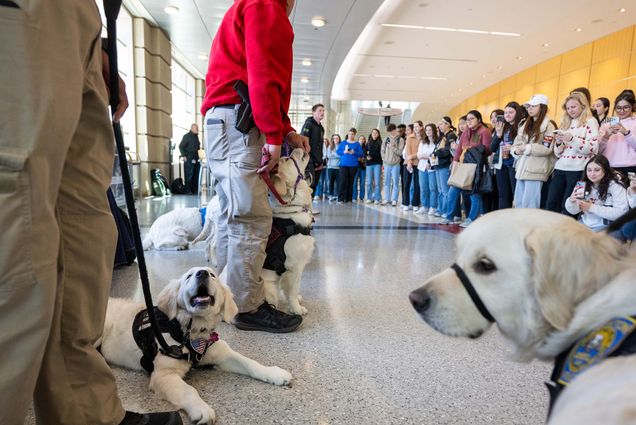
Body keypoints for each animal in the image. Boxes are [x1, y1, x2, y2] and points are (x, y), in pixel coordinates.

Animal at [100, 266, 294, 422]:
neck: (192, 333)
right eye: (188, 276)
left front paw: (274, 373)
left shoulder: (222, 353)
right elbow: (189, 390)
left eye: (213, 274)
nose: (202, 273)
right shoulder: (163, 375)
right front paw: (201, 410)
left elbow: (250, 363)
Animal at [193, 147, 314, 314]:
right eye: (287, 159)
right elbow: (292, 291)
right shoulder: (295, 267)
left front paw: (297, 301)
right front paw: (297, 308)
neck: (291, 211)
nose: (298, 147)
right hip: (267, 289)